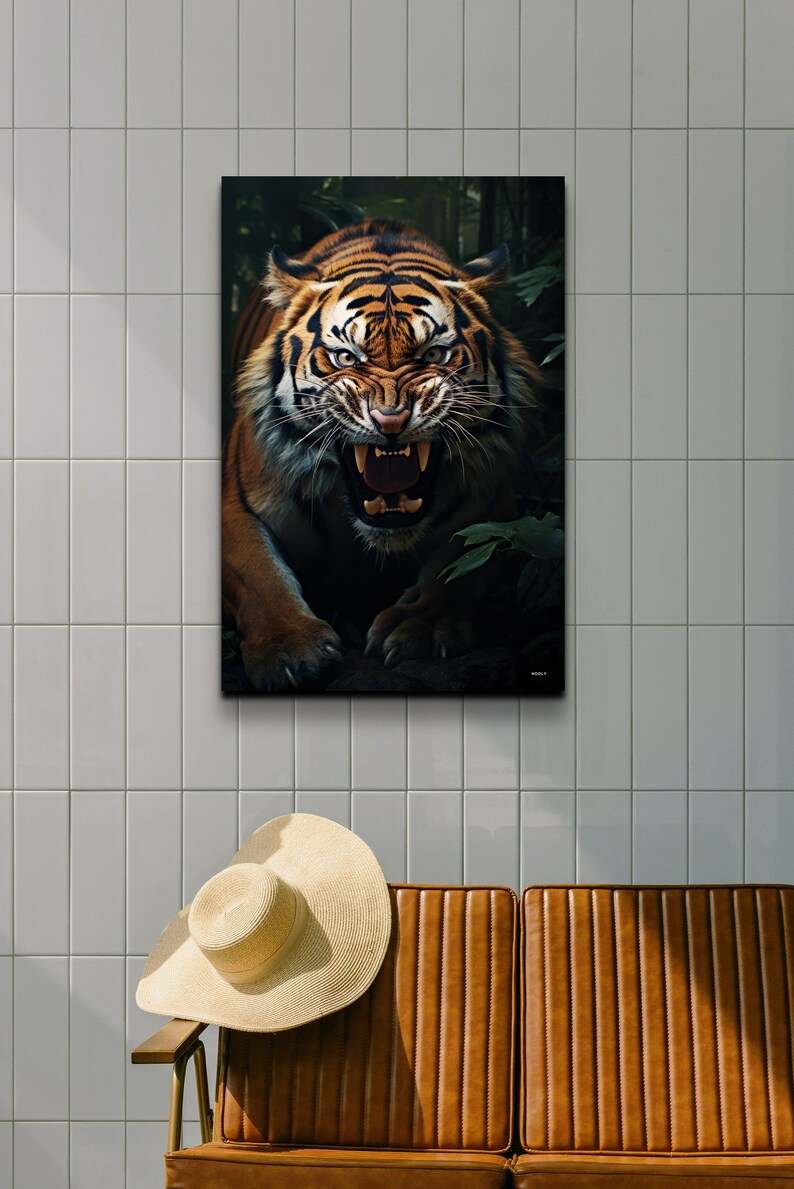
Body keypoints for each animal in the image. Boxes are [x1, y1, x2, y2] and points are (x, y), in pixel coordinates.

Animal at [222, 219, 542, 691]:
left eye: (433, 354)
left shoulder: (496, 510)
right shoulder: (235, 503)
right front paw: (289, 648)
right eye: (345, 357)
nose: (390, 420)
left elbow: (457, 571)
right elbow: (260, 574)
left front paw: (419, 627)